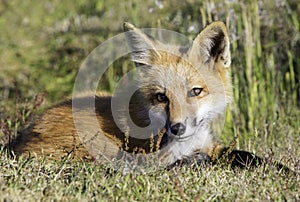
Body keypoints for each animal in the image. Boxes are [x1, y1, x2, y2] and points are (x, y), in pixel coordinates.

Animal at [9, 20, 286, 172]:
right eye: (161, 97)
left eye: (195, 91)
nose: (177, 128)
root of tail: (23, 137)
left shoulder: (212, 146)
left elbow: (249, 156)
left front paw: (283, 171)